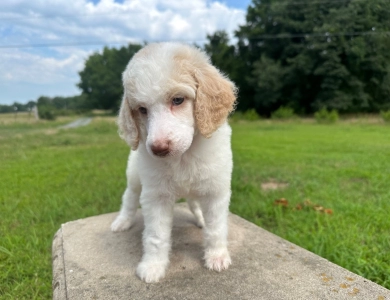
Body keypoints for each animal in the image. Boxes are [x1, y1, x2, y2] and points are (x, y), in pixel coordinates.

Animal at [111, 42, 236, 284]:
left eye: (178, 100)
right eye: (142, 110)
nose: (158, 149)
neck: (183, 158)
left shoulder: (215, 190)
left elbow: (216, 228)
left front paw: (216, 257)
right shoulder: (155, 196)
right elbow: (155, 235)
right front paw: (152, 267)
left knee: (194, 204)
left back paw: (201, 219)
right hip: (135, 176)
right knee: (129, 198)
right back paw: (122, 221)